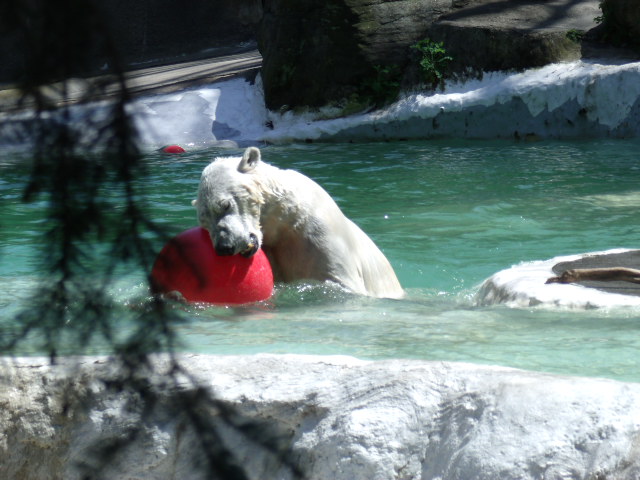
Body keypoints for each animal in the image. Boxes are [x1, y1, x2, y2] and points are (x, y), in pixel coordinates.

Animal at [193, 146, 404, 299]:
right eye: (204, 222)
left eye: (225, 205)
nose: (224, 246)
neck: (287, 219)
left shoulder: (320, 233)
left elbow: (338, 279)